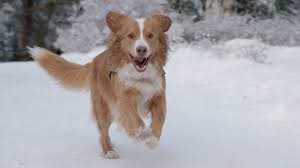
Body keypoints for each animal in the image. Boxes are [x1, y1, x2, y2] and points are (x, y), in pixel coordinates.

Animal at [27, 11, 171, 159]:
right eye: (131, 36)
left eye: (150, 35)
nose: (141, 49)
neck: (141, 76)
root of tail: (94, 61)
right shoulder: (124, 99)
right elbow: (133, 118)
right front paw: (142, 133)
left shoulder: (158, 95)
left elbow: (161, 116)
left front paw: (153, 140)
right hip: (102, 108)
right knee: (102, 132)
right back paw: (109, 151)